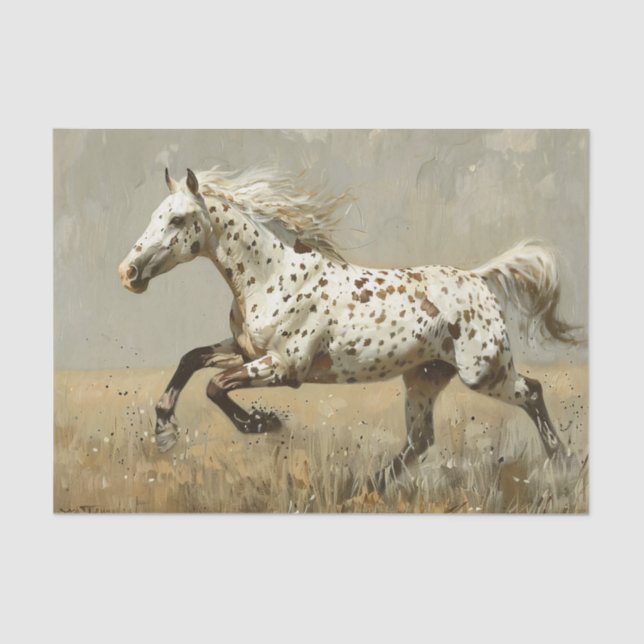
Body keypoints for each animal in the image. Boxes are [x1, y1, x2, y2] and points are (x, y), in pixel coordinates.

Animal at [118, 166, 579, 491]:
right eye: (156, 215)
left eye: (177, 220)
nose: (129, 273)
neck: (272, 275)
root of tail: (479, 279)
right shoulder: (245, 350)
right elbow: (191, 360)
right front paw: (165, 431)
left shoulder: (283, 367)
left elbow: (215, 386)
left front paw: (265, 424)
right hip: (425, 379)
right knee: (420, 441)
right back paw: (365, 489)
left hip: (484, 373)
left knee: (532, 392)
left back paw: (563, 467)